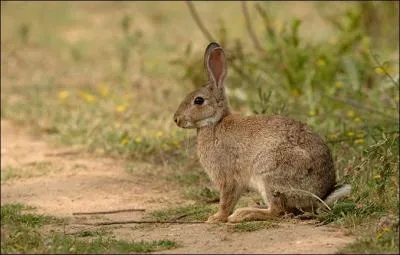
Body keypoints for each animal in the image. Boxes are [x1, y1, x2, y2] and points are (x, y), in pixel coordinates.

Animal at [172, 42, 350, 223]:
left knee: (277, 210)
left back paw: (244, 214)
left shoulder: (227, 177)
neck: (215, 122)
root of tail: (319, 195)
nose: (176, 119)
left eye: (198, 100)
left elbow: (226, 201)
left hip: (271, 174)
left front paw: (216, 218)